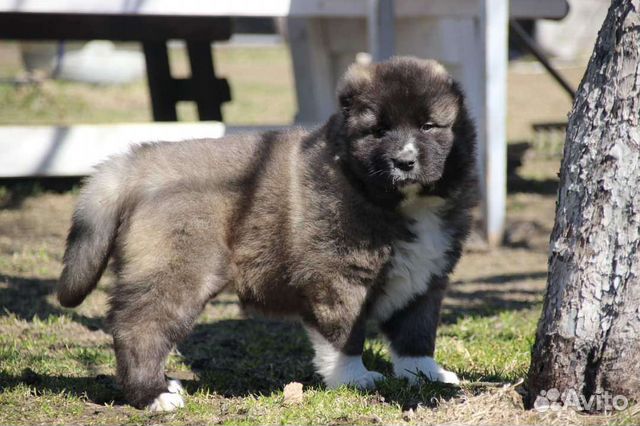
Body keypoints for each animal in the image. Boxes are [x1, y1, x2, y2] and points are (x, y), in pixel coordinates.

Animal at [58, 55, 476, 410]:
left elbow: (416, 333)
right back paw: (154, 395)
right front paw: (354, 378)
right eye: (378, 130)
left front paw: (424, 373)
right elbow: (344, 334)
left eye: (428, 126)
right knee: (139, 327)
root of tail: (141, 163)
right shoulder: (338, 278)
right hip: (178, 271)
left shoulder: (425, 277)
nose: (404, 161)